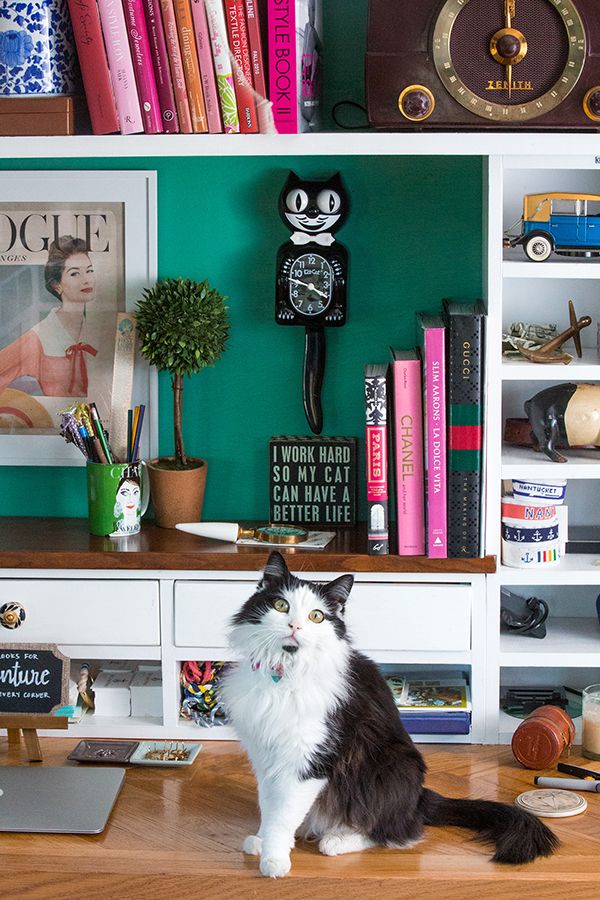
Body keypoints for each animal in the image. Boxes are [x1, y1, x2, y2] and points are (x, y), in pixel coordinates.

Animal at [220, 552, 556, 876]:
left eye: (316, 616)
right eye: (281, 605)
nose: (295, 627)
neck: (283, 673)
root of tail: (418, 798)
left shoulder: (309, 756)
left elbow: (284, 814)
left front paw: (274, 860)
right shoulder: (265, 755)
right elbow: (270, 806)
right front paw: (263, 841)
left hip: (387, 767)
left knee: (396, 831)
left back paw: (337, 839)